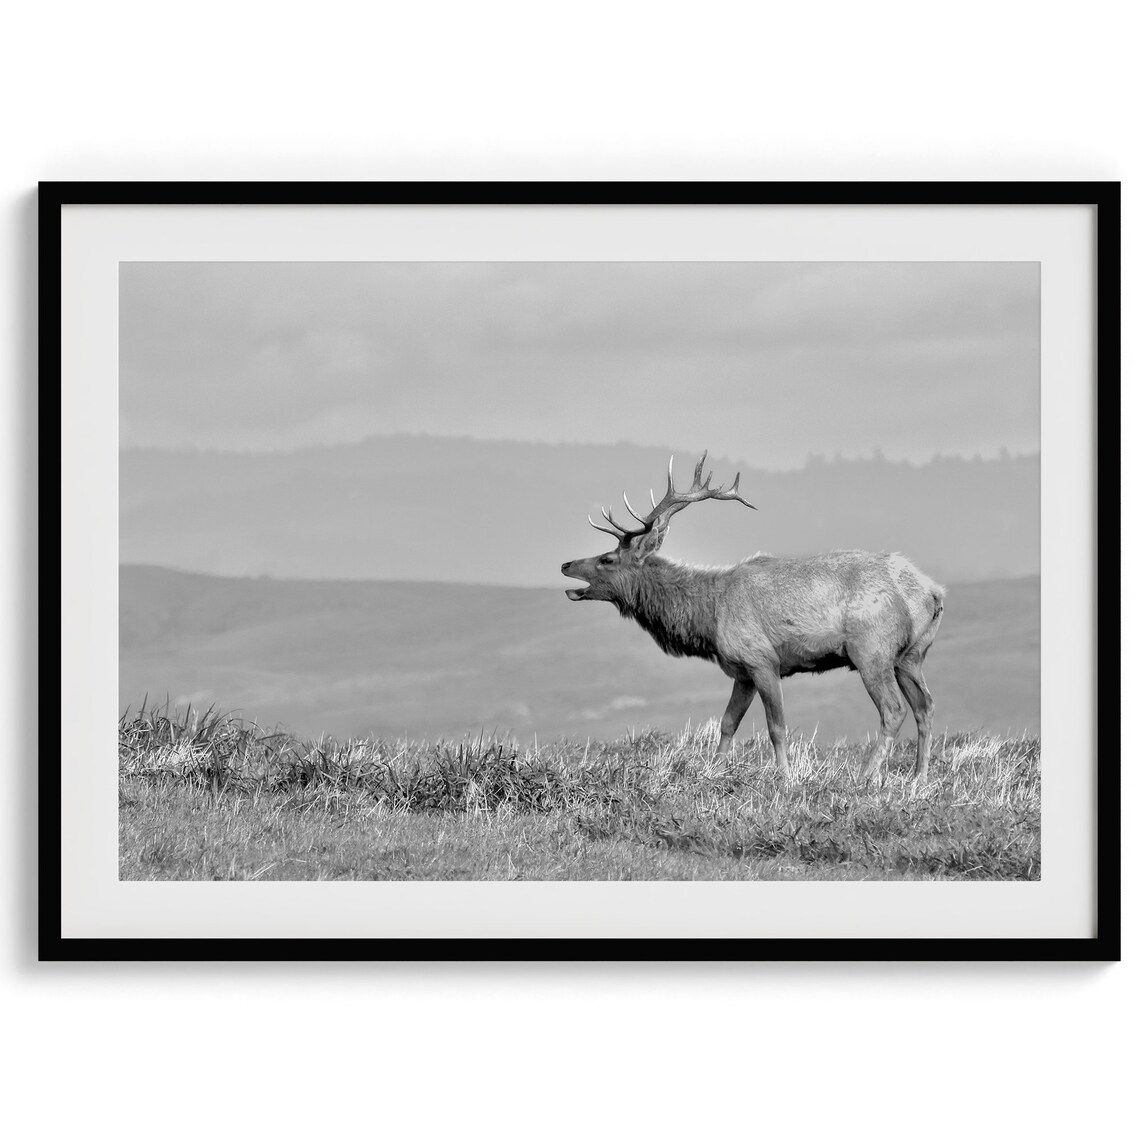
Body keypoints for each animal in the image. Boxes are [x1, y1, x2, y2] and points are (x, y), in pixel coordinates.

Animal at [561, 452, 945, 783]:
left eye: (608, 559)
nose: (565, 564)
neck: (708, 617)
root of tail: (933, 591)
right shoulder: (741, 671)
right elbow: (727, 723)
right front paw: (712, 771)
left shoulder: (763, 660)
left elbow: (777, 727)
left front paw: (785, 778)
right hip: (911, 656)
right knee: (925, 706)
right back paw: (919, 776)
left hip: (871, 650)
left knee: (893, 709)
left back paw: (866, 775)